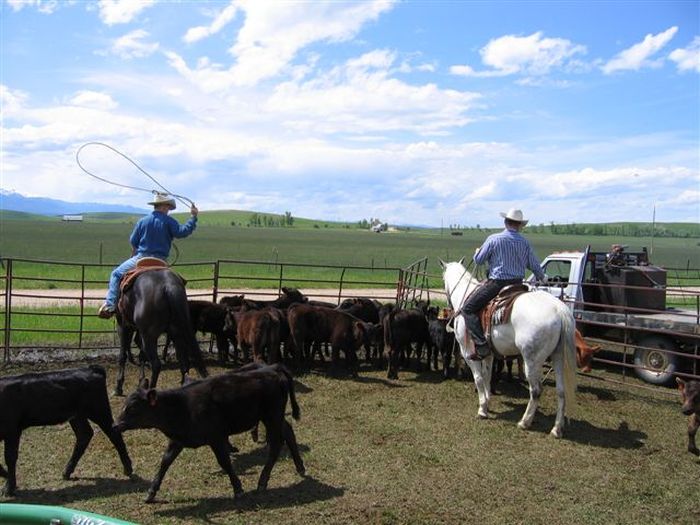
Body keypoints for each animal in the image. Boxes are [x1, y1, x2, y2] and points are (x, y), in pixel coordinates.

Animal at [0, 364, 133, 496]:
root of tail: (91, 369)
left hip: (98, 410)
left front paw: (8, 487)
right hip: (77, 415)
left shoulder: (12, 430)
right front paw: (7, 478)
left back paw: (128, 469)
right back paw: (67, 471)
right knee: (84, 434)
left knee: (113, 434)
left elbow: (10, 457)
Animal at [113, 362, 304, 498]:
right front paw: (151, 492)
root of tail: (273, 370)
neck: (182, 406)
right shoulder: (177, 440)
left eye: (133, 408)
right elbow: (165, 462)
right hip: (275, 417)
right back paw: (300, 467)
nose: (115, 425)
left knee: (276, 445)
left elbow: (224, 462)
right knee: (288, 431)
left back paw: (263, 481)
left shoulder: (216, 437)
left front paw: (238, 488)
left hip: (272, 416)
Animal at [115, 268, 206, 396]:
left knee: (156, 365)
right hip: (176, 333)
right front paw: (141, 381)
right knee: (184, 361)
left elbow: (122, 355)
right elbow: (141, 354)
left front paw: (119, 386)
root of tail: (168, 287)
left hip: (149, 337)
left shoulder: (123, 325)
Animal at [440, 258, 576, 438]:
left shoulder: (467, 352)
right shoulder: (488, 353)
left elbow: (478, 378)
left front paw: (482, 409)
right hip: (558, 357)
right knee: (561, 391)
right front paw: (487, 402)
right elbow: (487, 376)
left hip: (532, 361)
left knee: (536, 390)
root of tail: (559, 310)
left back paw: (525, 422)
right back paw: (556, 429)